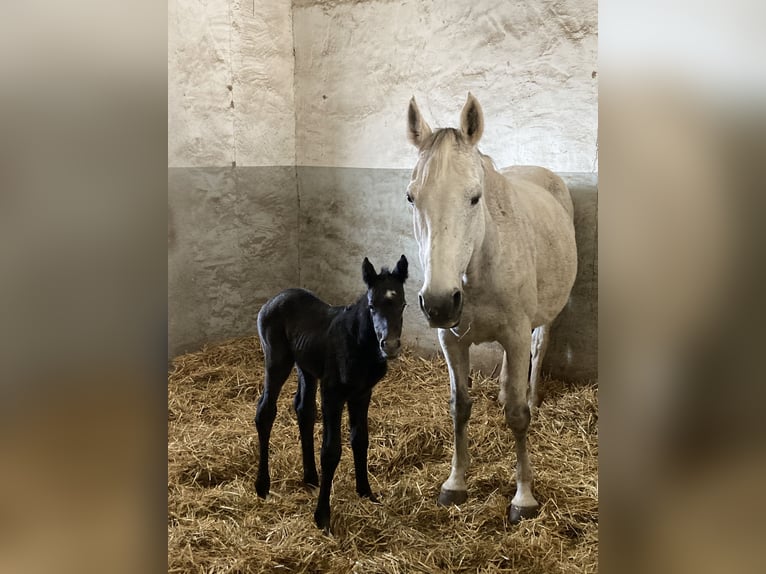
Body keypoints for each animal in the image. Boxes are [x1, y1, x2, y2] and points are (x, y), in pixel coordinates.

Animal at [254, 255, 409, 531]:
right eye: (371, 305)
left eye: (402, 304)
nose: (389, 346)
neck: (358, 343)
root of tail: (273, 300)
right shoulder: (333, 394)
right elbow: (331, 451)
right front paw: (322, 516)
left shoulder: (362, 394)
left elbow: (360, 440)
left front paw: (366, 493)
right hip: (277, 362)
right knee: (265, 412)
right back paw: (263, 486)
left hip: (306, 368)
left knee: (304, 410)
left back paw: (310, 478)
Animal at [405, 93, 577, 522]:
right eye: (411, 197)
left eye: (474, 197)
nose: (438, 302)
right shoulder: (451, 341)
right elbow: (459, 408)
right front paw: (455, 483)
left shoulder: (516, 334)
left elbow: (517, 417)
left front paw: (523, 498)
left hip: (543, 319)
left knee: (538, 350)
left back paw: (531, 395)